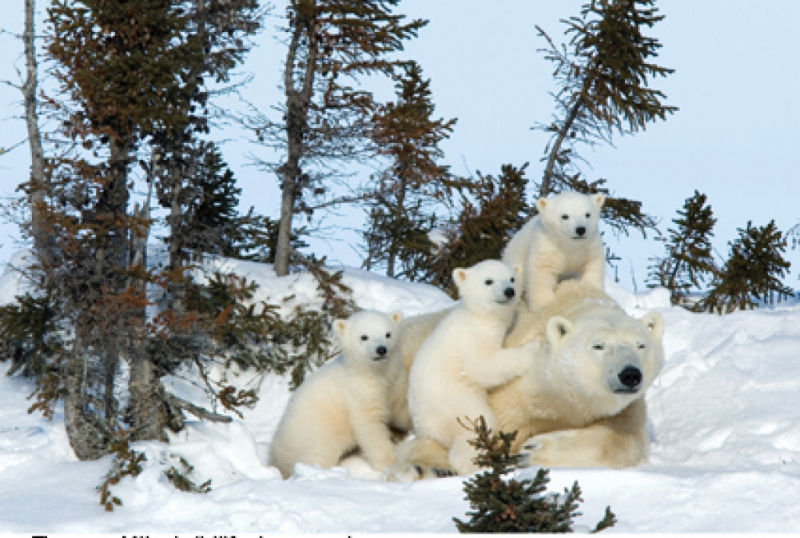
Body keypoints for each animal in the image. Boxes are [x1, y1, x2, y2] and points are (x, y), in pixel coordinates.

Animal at [392, 278, 664, 476]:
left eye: (641, 345)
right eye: (598, 346)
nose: (630, 374)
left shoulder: (624, 407)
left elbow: (624, 439)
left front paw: (533, 450)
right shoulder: (514, 391)